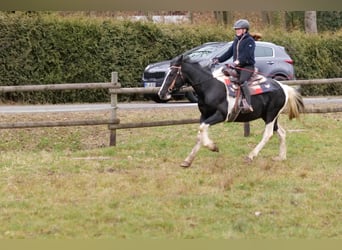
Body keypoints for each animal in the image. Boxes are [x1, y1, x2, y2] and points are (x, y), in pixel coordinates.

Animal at [158, 54, 304, 168]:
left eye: (172, 74)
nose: (161, 93)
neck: (210, 87)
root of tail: (283, 87)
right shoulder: (204, 116)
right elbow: (200, 133)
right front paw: (188, 160)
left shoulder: (221, 115)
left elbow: (202, 130)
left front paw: (213, 147)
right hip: (270, 116)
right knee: (282, 132)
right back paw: (281, 157)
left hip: (270, 115)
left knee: (268, 134)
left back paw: (251, 156)